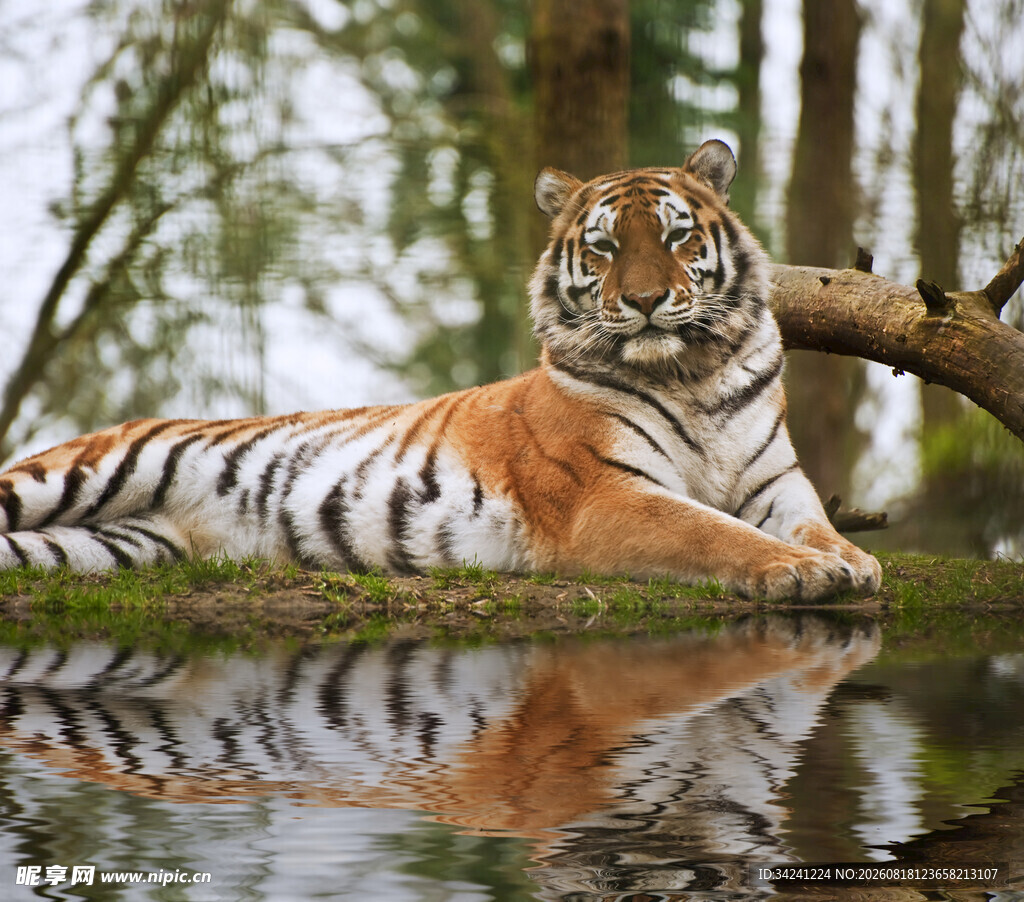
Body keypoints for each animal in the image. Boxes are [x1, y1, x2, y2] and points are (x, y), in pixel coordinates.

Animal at [0, 139, 881, 600]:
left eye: (675, 237)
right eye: (602, 247)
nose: (643, 301)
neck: (690, 375)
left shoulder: (775, 482)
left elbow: (810, 520)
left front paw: (849, 558)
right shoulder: (607, 494)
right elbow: (709, 529)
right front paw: (803, 571)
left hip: (114, 546)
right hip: (81, 472)